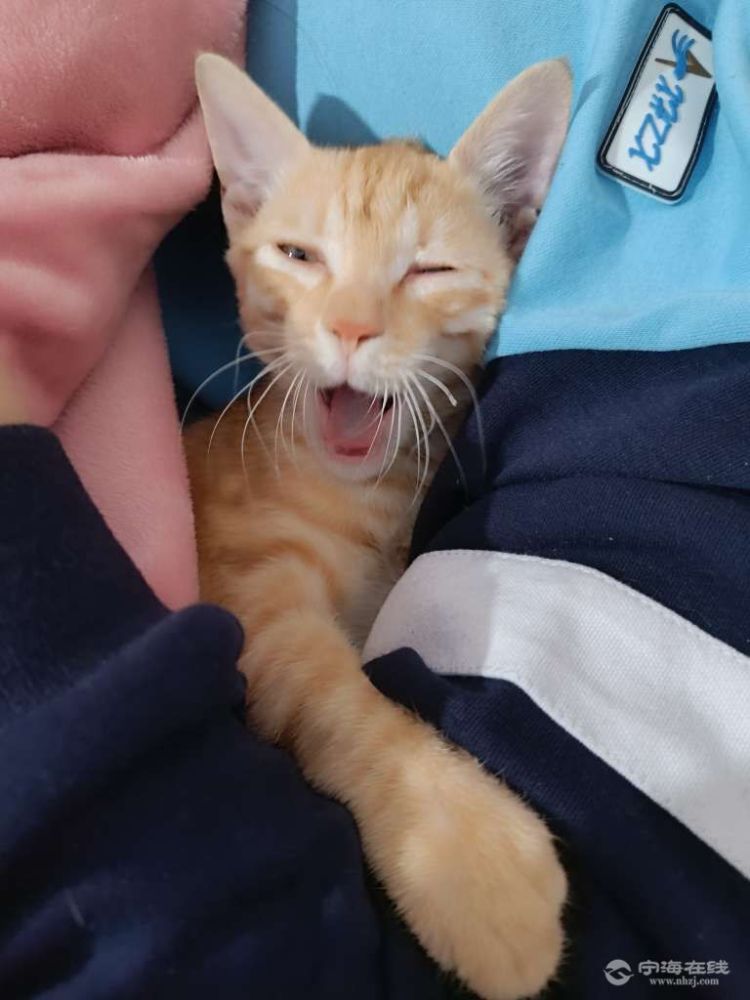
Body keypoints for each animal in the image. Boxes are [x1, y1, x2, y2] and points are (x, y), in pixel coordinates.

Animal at [185, 53, 571, 1000]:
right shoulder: (251, 599)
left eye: (428, 271)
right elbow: (336, 701)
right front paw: (469, 859)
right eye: (299, 256)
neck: (367, 494)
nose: (352, 328)